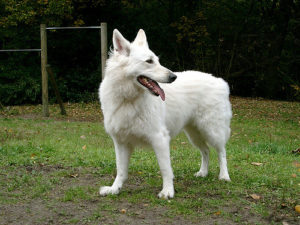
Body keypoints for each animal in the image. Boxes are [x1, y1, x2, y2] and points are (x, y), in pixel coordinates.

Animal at [98, 28, 232, 199]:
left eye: (157, 60)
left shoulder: (160, 139)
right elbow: (121, 170)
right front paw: (115, 189)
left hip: (212, 131)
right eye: (149, 61)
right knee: (206, 151)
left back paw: (224, 176)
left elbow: (165, 169)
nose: (173, 77)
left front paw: (168, 191)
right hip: (194, 134)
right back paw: (203, 172)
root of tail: (220, 82)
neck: (128, 99)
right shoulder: (121, 143)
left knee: (222, 152)